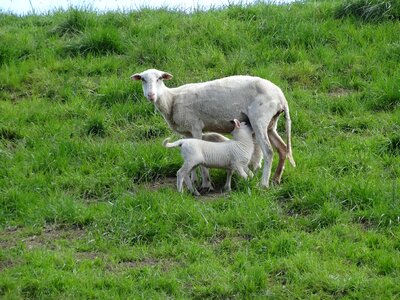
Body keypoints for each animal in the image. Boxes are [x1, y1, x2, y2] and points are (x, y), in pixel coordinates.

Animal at [130, 69, 296, 189]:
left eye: (159, 78)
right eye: (143, 79)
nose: (151, 95)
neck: (171, 100)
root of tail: (281, 97)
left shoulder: (196, 126)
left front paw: (205, 184)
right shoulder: (187, 132)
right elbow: (191, 157)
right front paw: (193, 180)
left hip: (260, 119)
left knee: (268, 152)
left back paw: (264, 183)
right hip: (271, 124)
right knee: (282, 149)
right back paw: (276, 179)